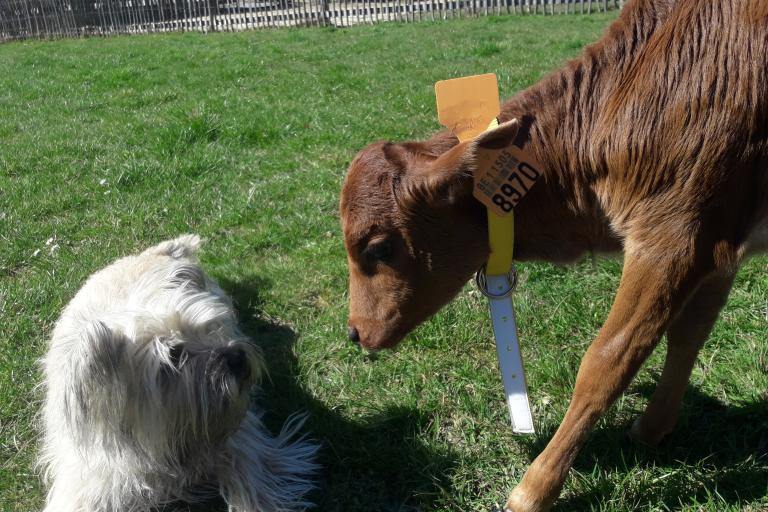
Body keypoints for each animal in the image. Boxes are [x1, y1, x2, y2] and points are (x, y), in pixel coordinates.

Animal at [340, 2, 768, 510]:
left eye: (378, 247)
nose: (355, 332)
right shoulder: (722, 242)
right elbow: (688, 336)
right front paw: (652, 427)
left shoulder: (677, 234)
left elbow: (608, 360)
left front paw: (534, 488)